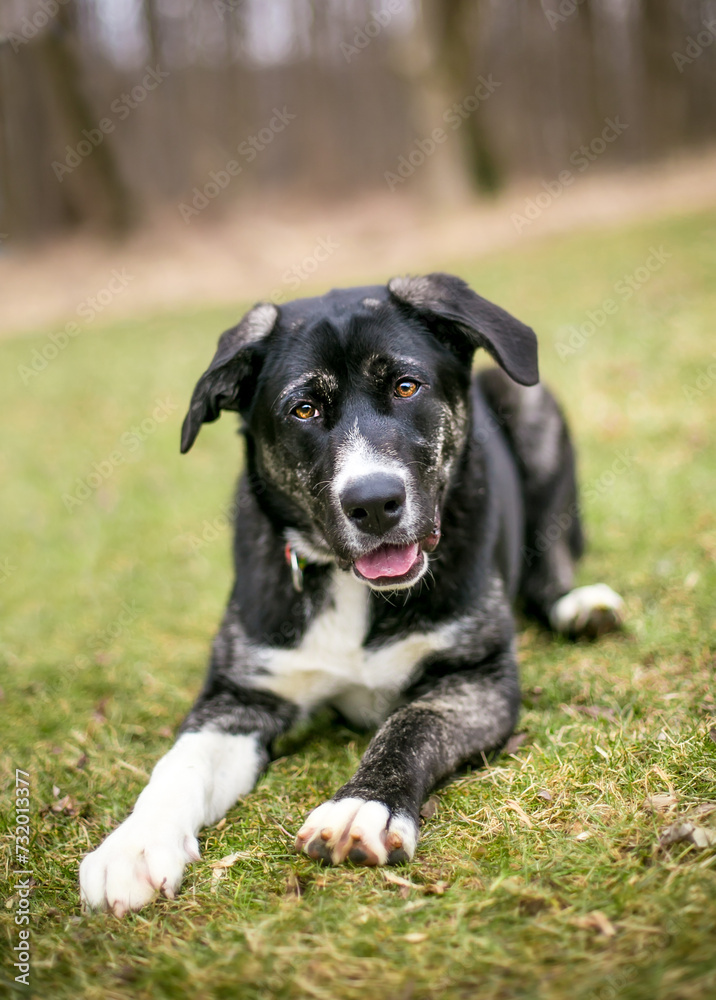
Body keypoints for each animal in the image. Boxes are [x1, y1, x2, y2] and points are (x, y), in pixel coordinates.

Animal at [81, 272, 624, 916]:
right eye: (304, 409)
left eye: (407, 386)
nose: (374, 503)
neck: (350, 584)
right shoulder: (244, 692)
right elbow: (179, 761)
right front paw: (133, 845)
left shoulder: (478, 674)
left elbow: (409, 725)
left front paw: (362, 807)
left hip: (532, 408)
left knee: (550, 557)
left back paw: (579, 607)